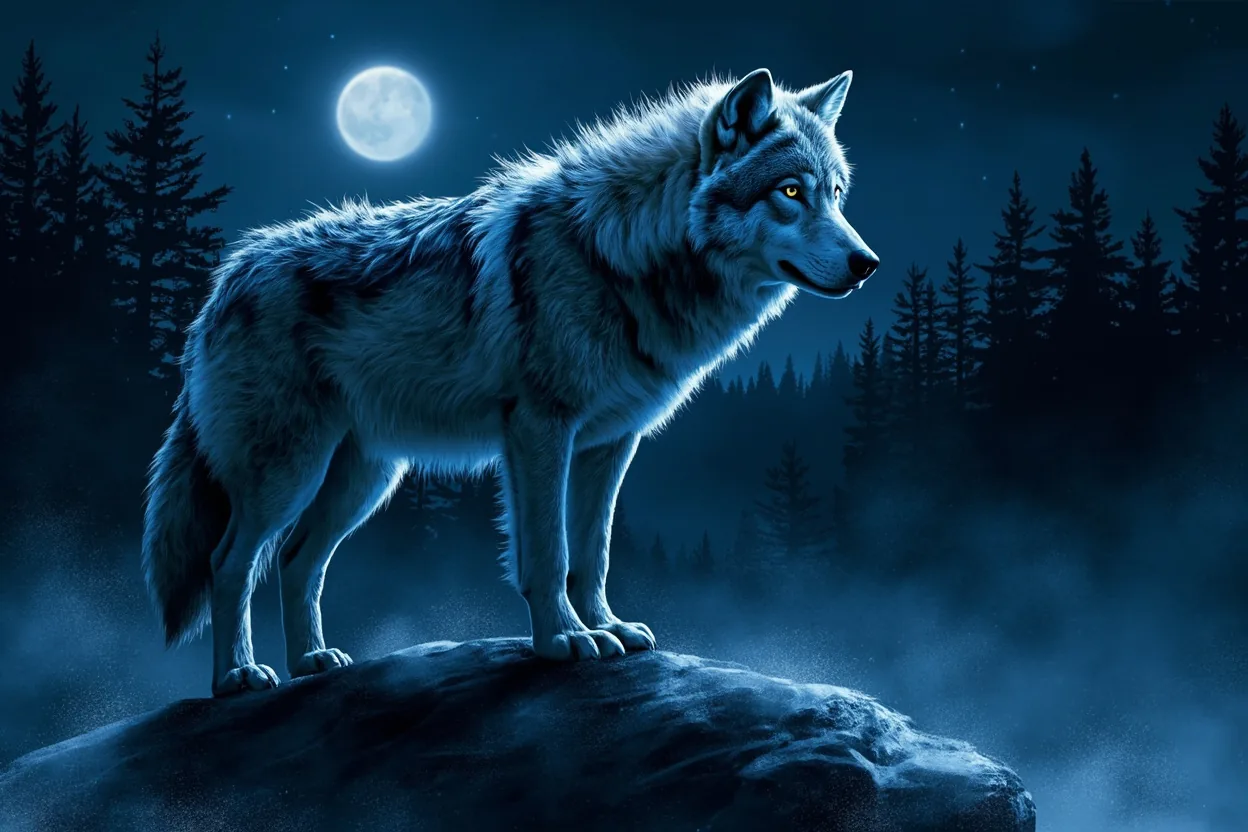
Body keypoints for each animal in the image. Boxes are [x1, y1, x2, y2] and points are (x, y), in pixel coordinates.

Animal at [142, 67, 879, 696]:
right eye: (791, 192)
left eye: (838, 194)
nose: (867, 262)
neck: (619, 255)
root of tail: (226, 277)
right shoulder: (539, 431)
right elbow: (548, 554)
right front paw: (563, 642)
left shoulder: (609, 445)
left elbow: (593, 553)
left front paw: (605, 627)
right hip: (289, 474)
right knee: (229, 564)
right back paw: (238, 678)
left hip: (365, 480)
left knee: (297, 561)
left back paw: (312, 664)